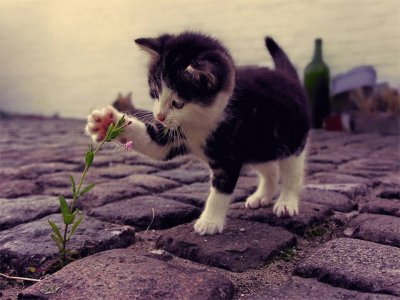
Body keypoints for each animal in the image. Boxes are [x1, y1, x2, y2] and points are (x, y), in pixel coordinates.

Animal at [85, 31, 310, 236]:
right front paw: (107, 123)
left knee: (292, 171)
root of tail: (289, 79)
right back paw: (262, 196)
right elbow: (154, 144)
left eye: (178, 103)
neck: (201, 122)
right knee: (270, 169)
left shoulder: (228, 156)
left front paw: (209, 222)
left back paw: (286, 202)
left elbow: (221, 188)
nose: (159, 116)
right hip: (258, 147)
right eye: (155, 93)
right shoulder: (173, 135)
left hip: (290, 139)